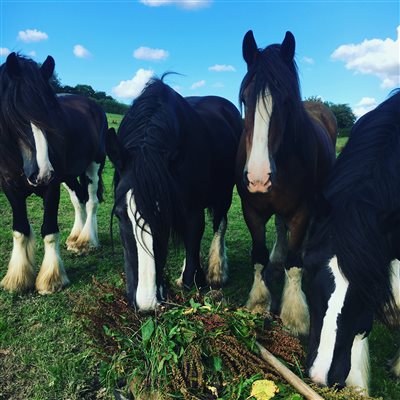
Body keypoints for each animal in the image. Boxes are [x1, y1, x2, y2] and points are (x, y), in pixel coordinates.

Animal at [106, 76, 242, 310]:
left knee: (220, 224)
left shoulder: (192, 208)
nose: (146, 303)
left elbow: (194, 235)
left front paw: (193, 279)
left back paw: (217, 271)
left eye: (164, 214)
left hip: (224, 192)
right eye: (119, 215)